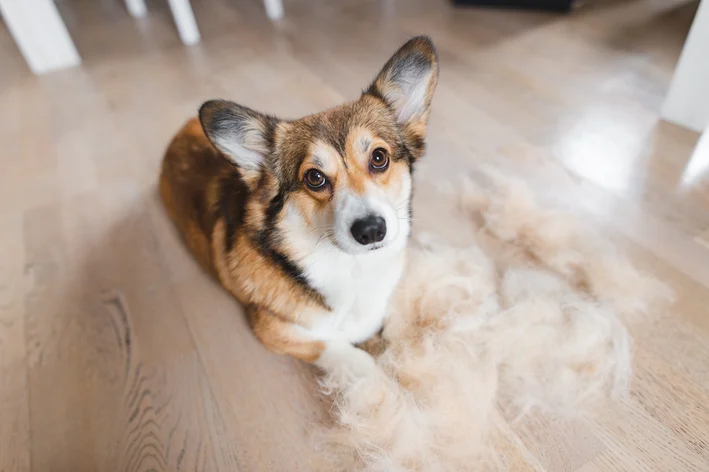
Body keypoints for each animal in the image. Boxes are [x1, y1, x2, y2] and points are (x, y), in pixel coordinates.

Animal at [159, 35, 436, 378]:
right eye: (314, 178)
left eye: (379, 157)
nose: (371, 230)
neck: (353, 267)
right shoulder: (275, 330)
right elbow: (347, 354)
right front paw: (379, 380)